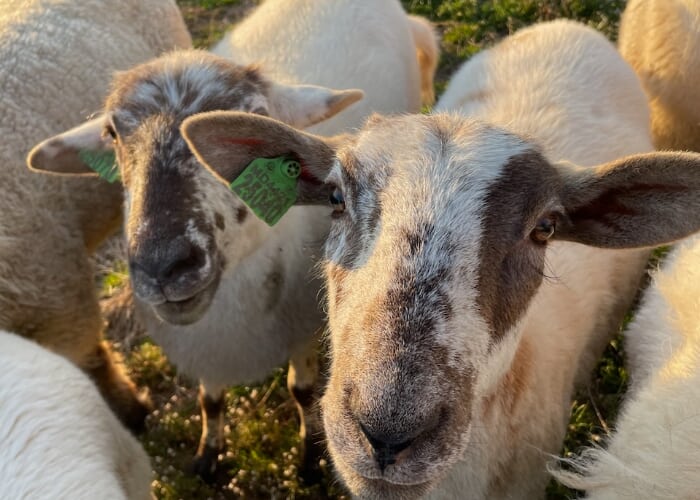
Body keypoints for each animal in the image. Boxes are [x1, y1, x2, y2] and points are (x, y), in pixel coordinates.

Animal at [27, 0, 437, 480]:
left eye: (256, 115)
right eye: (112, 133)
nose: (164, 267)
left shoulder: (300, 326)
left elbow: (301, 390)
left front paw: (309, 458)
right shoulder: (210, 348)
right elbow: (210, 399)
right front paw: (208, 454)